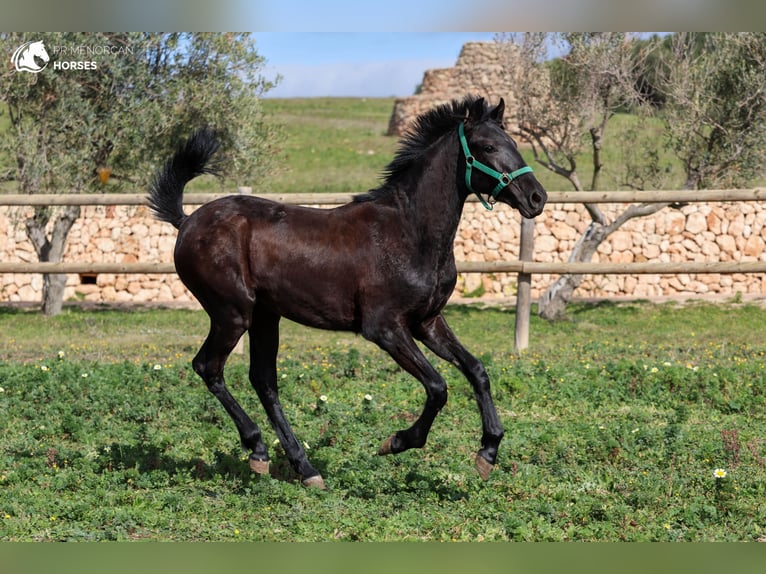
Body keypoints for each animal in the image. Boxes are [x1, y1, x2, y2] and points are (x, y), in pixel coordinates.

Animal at [148, 95, 544, 490]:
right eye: (488, 146)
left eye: (514, 143)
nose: (537, 197)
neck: (410, 232)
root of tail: (187, 220)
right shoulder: (385, 329)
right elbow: (437, 386)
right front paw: (397, 441)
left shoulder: (427, 322)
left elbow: (477, 370)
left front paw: (487, 453)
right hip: (232, 313)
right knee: (209, 367)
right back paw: (258, 449)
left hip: (265, 316)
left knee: (263, 381)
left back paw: (305, 468)